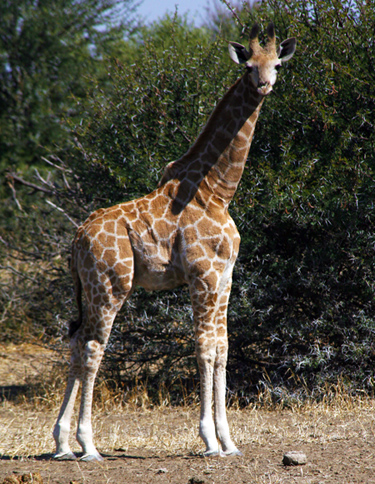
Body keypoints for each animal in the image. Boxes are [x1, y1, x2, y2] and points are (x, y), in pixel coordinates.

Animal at [54, 23, 298, 462]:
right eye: (248, 66)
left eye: (277, 64)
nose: (264, 85)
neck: (216, 191)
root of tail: (78, 238)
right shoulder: (203, 275)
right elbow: (204, 348)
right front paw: (209, 441)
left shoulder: (225, 277)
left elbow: (223, 348)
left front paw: (229, 441)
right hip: (110, 284)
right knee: (94, 346)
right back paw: (88, 444)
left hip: (90, 287)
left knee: (77, 341)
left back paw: (62, 443)